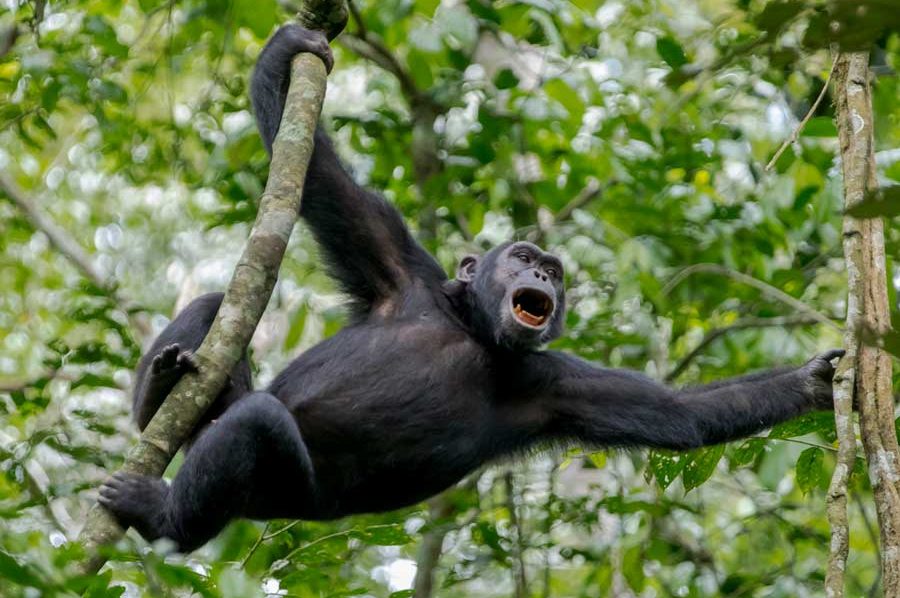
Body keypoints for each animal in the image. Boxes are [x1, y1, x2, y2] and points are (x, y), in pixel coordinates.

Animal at [100, 25, 844, 556]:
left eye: (554, 271)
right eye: (523, 257)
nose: (541, 276)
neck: (471, 330)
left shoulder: (557, 381)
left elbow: (679, 413)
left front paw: (810, 382)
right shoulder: (396, 262)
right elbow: (320, 182)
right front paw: (288, 49)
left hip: (280, 493)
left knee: (253, 426)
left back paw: (162, 516)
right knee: (216, 325)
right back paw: (157, 394)